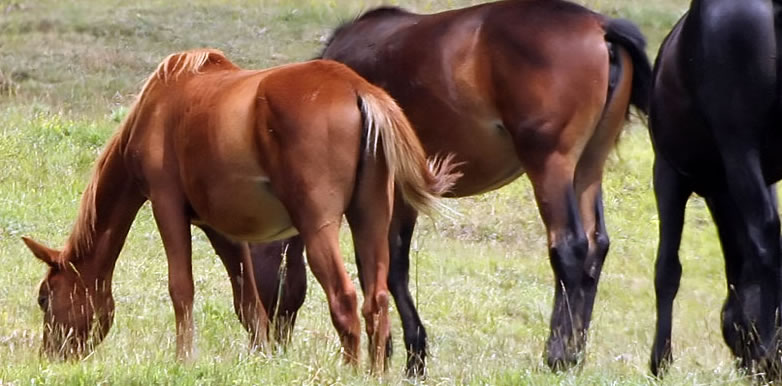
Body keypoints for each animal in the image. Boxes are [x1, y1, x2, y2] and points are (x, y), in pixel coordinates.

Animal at [23, 46, 460, 372]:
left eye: (45, 297)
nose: (49, 357)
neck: (160, 105)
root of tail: (356, 88)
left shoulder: (166, 205)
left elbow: (181, 288)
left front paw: (184, 360)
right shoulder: (222, 229)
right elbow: (249, 303)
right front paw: (261, 359)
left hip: (317, 226)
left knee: (345, 299)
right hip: (370, 220)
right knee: (377, 302)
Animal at [248, 0, 652, 376]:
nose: (266, 346)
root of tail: (601, 26)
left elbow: (382, 268)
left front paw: (398, 353)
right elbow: (391, 268)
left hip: (551, 165)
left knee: (569, 248)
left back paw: (557, 356)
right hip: (588, 168)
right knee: (595, 249)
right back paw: (575, 356)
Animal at [648, 0, 782, 376]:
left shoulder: (667, 173)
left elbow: (667, 268)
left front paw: (660, 361)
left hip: (738, 148)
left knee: (766, 238)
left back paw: (768, 354)